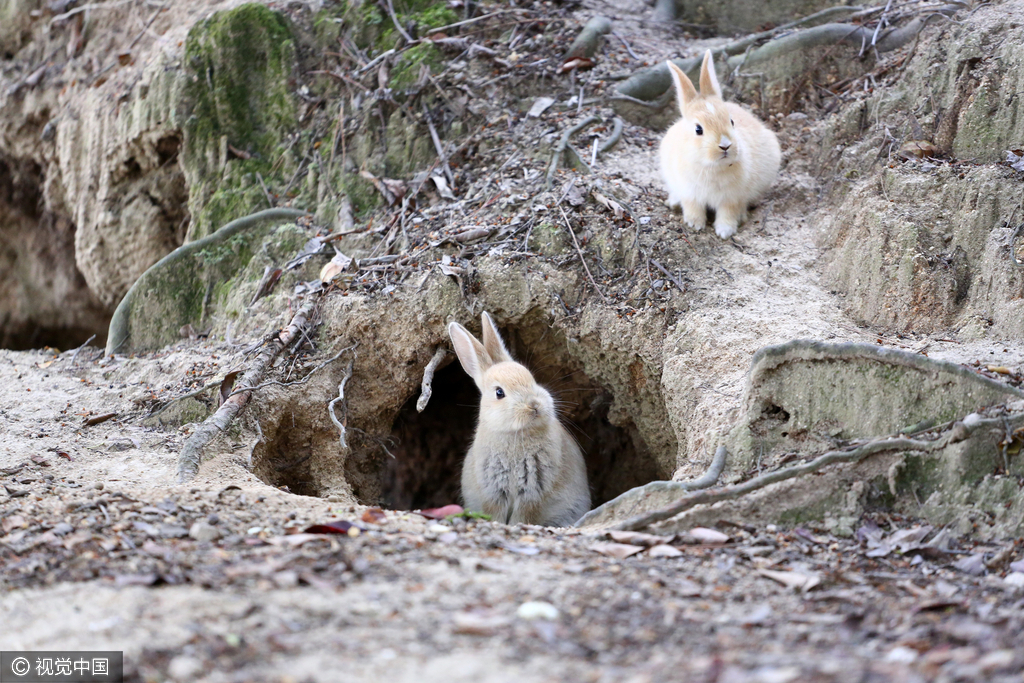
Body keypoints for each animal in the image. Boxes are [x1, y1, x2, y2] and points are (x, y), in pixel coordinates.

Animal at [448, 313, 593, 528]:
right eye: (499, 393)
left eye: (531, 378)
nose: (534, 405)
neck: (515, 434)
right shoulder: (493, 488)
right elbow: (495, 511)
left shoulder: (534, 490)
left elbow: (524, 515)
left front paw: (516, 525)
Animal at [659, 49, 778, 239]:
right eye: (698, 129)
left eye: (731, 121)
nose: (725, 145)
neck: (711, 166)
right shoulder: (689, 193)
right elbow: (692, 207)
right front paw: (695, 224)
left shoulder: (731, 198)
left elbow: (728, 212)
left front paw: (725, 231)